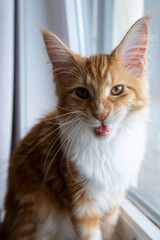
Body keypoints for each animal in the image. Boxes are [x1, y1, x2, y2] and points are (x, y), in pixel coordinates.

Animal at [0, 15, 150, 239]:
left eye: (117, 90)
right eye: (82, 93)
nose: (100, 114)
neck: (105, 150)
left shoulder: (113, 203)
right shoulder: (81, 204)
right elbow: (91, 234)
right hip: (33, 215)